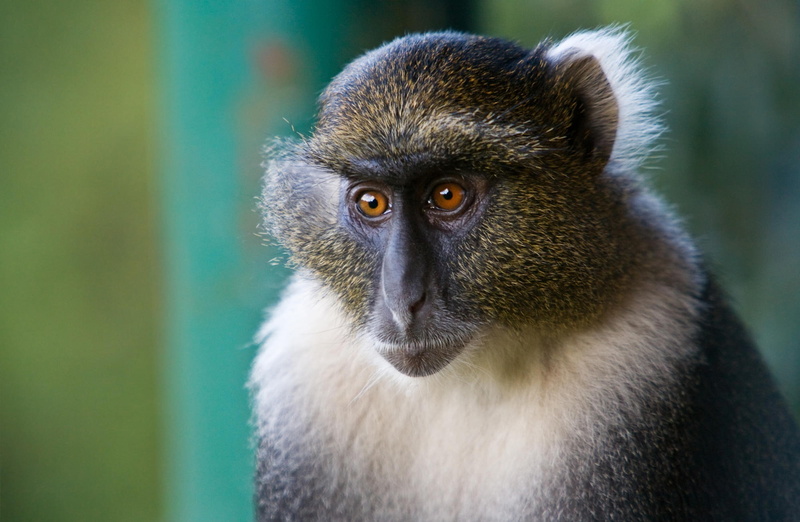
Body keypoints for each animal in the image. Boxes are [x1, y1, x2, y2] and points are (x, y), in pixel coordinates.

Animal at [250, 28, 800, 520]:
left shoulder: (649, 358)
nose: (404, 299)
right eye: (371, 202)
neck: (468, 378)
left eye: (446, 195)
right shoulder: (301, 378)